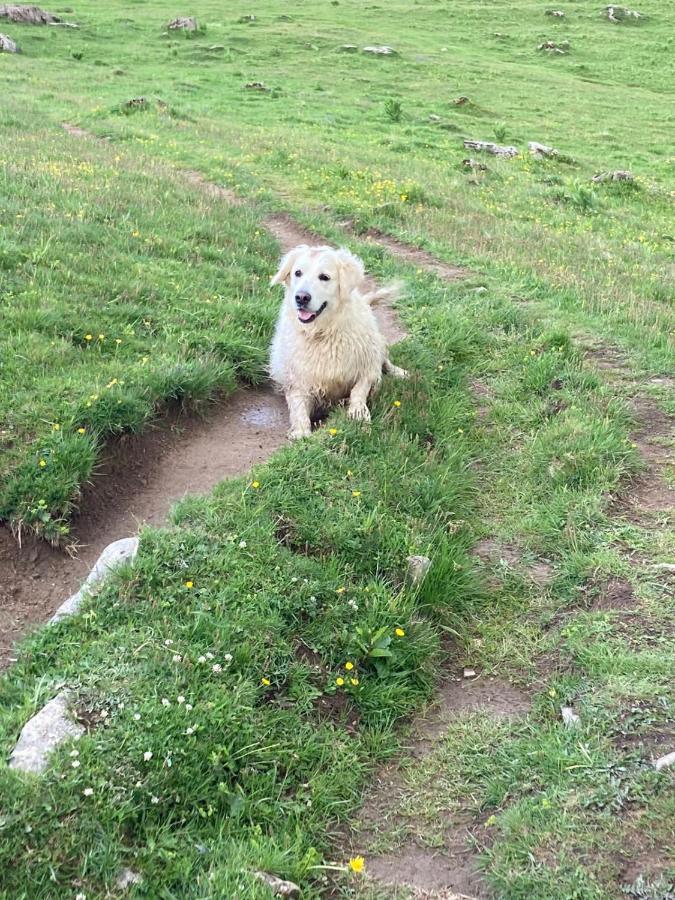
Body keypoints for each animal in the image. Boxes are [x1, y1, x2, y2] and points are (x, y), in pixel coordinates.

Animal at [270, 244, 406, 438]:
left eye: (324, 277)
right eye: (298, 273)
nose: (301, 297)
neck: (323, 332)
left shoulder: (367, 367)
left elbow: (359, 390)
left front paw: (358, 413)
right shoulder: (297, 382)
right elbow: (298, 407)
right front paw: (301, 432)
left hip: (377, 343)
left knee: (385, 361)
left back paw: (400, 373)